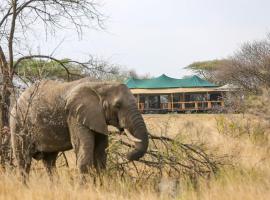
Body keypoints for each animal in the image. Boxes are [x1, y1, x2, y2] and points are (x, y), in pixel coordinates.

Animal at [10, 78, 150, 181]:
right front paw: (85, 189)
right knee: (24, 161)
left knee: (49, 162)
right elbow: (83, 148)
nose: (128, 155)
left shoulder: (97, 118)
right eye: (117, 105)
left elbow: (100, 154)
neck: (101, 84)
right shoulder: (74, 115)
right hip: (18, 124)